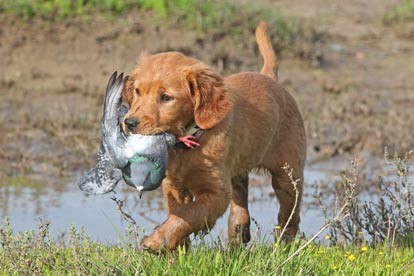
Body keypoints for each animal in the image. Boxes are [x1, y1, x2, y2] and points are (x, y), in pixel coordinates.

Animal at [122, 21, 304, 250]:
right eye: (137, 91)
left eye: (165, 97)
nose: (129, 123)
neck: (188, 145)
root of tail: (270, 78)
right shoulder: (173, 185)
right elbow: (177, 213)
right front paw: (177, 250)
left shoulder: (216, 193)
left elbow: (189, 214)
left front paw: (156, 242)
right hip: (238, 168)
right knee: (241, 194)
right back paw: (238, 232)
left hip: (288, 173)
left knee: (290, 213)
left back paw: (284, 245)